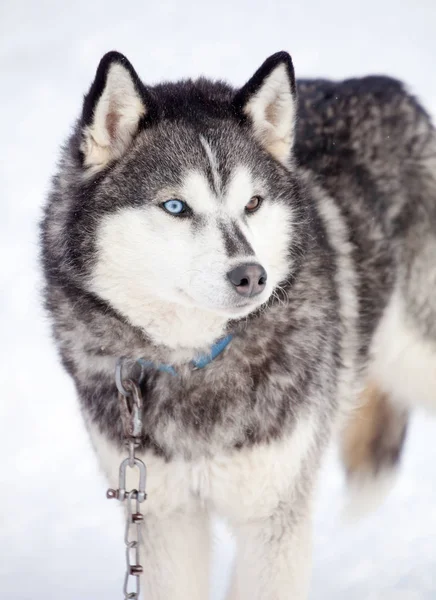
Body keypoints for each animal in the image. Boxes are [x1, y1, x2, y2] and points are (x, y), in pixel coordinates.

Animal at [41, 50, 436, 596]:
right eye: (176, 206)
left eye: (252, 203)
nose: (252, 276)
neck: (195, 361)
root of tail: (388, 86)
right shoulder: (163, 515)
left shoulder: (273, 516)